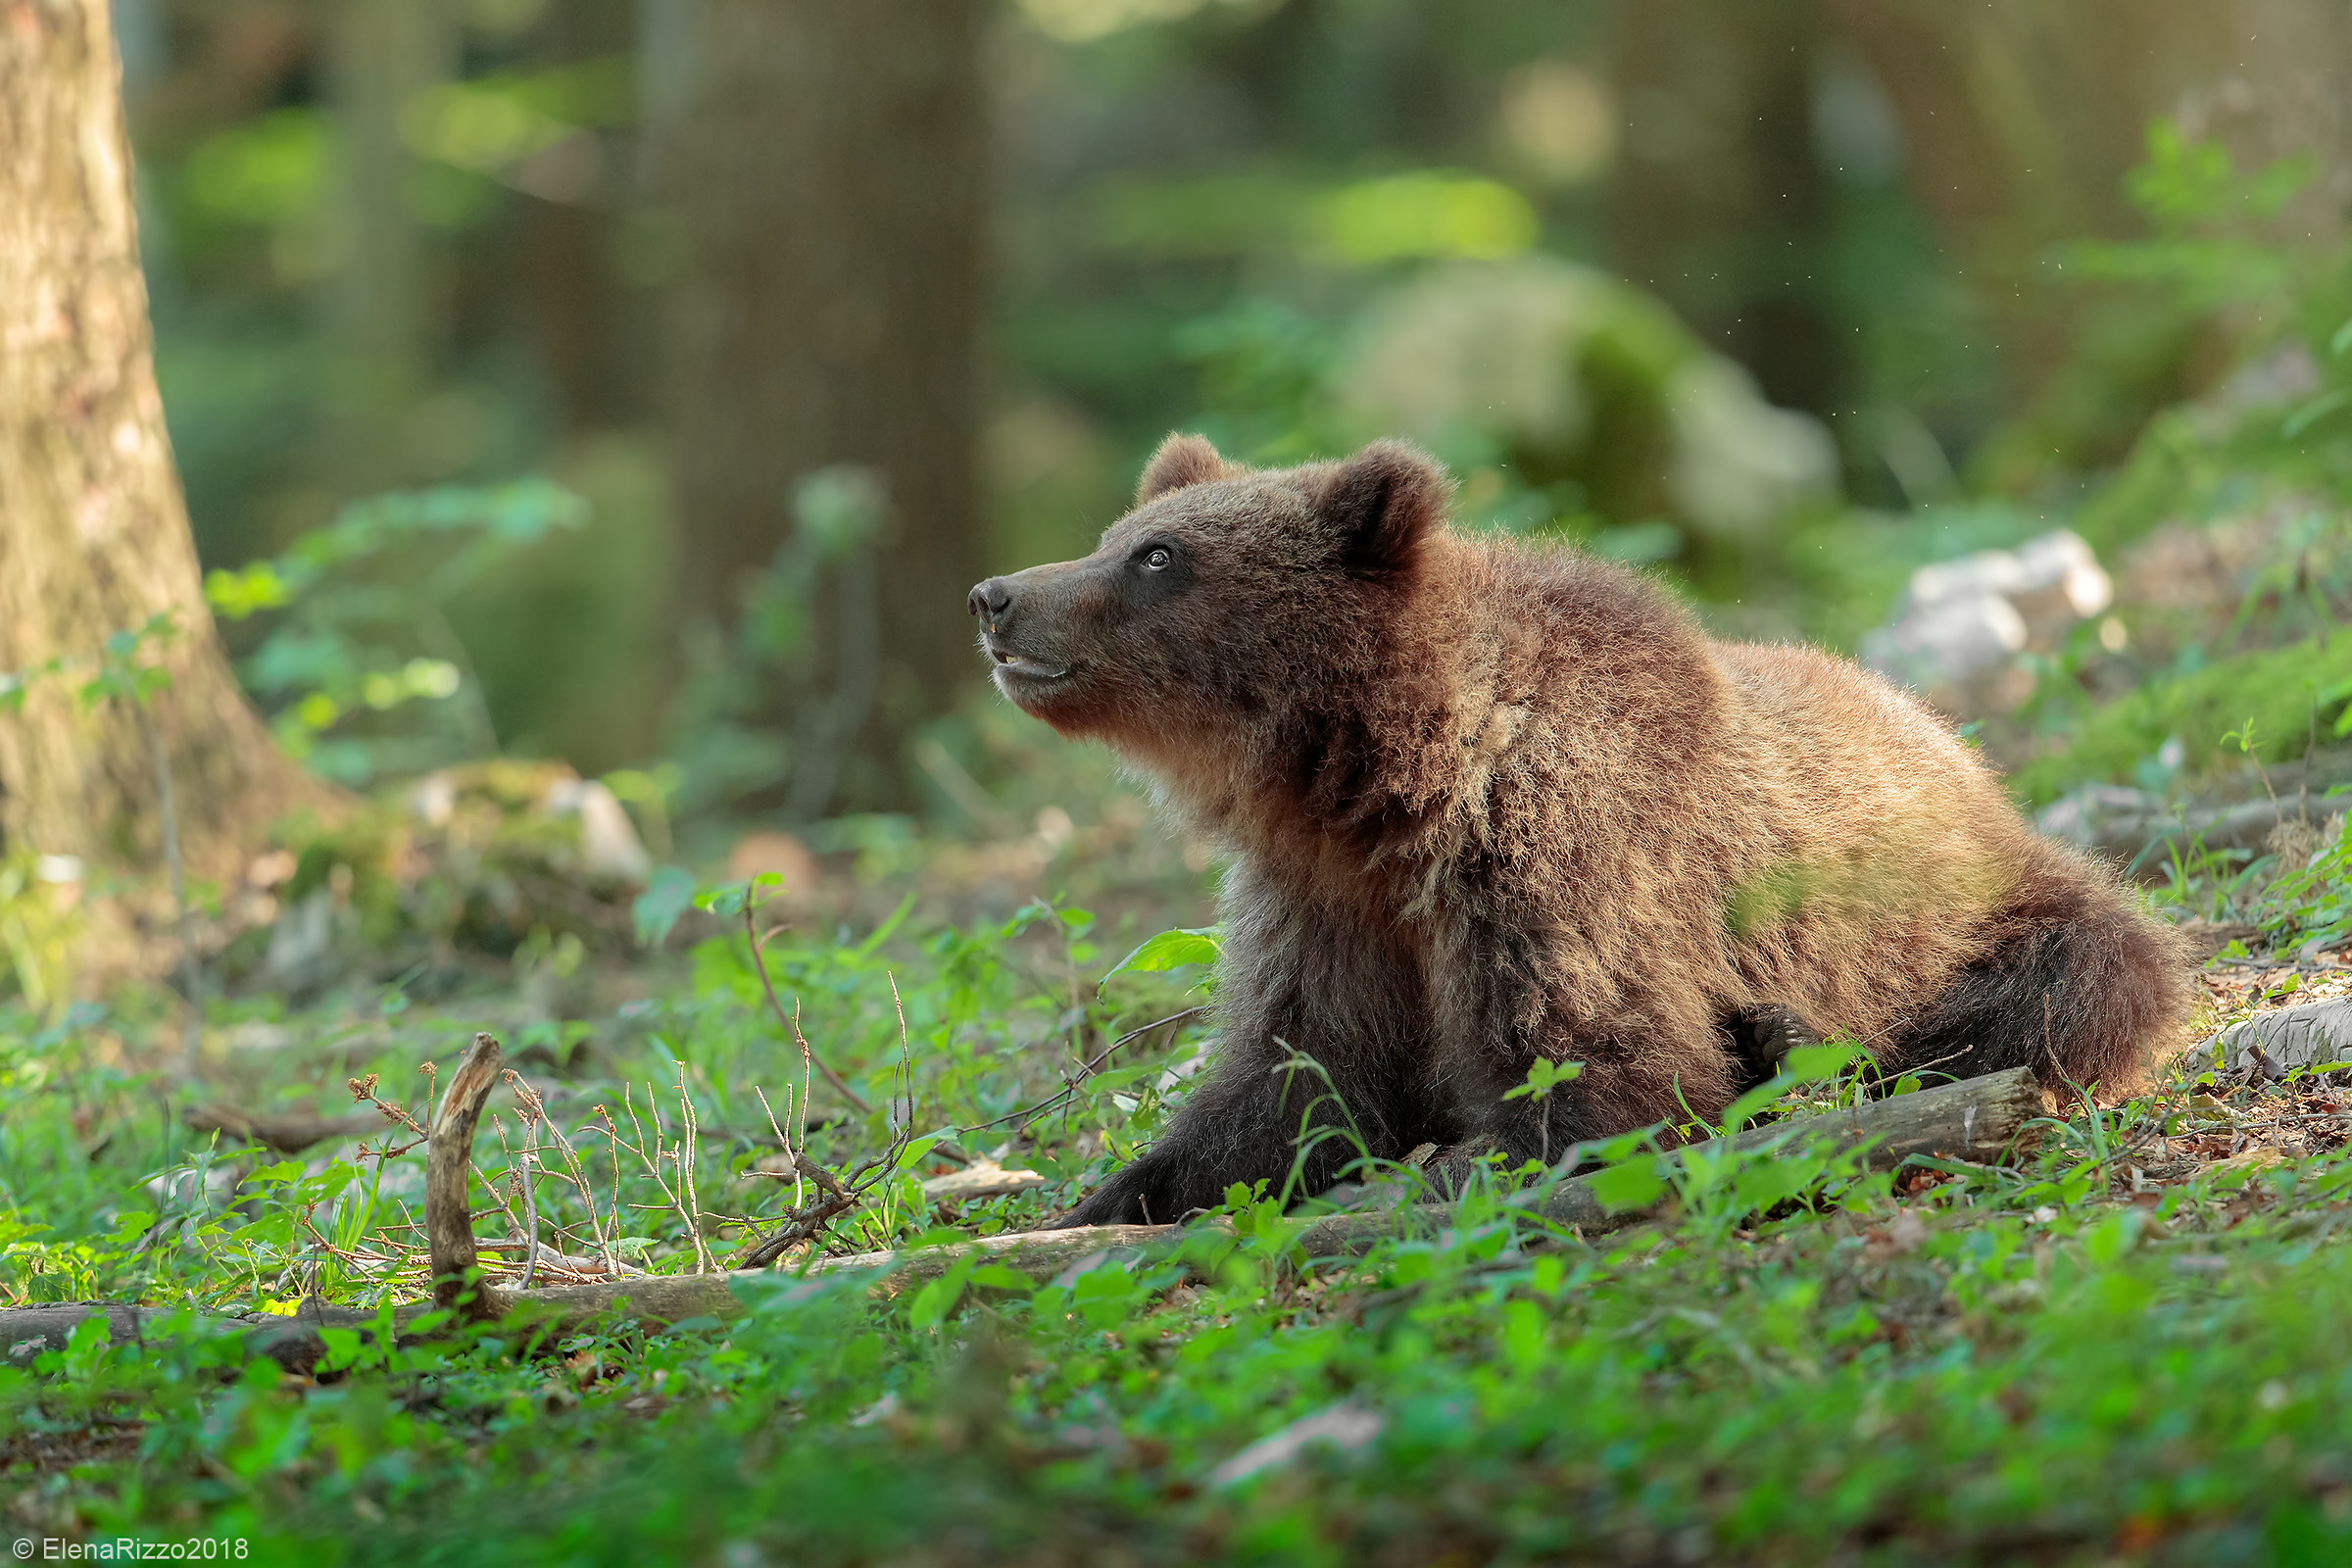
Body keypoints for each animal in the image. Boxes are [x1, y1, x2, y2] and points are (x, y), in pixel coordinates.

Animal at [967, 434, 2188, 1229]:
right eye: (1120, 534)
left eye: (1157, 558)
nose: (996, 595)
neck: (1378, 790)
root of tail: (1954, 745)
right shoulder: (1325, 903)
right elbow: (1296, 1082)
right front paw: (1104, 1199)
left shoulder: (1555, 857)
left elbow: (1600, 1074)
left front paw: (1446, 1166)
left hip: (1972, 909)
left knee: (2072, 984)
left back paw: (1797, 1048)